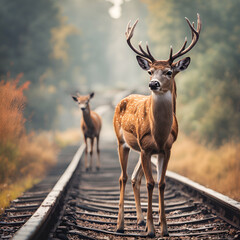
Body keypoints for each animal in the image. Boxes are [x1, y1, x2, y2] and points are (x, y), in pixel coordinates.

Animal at [112, 14, 201, 237]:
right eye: (150, 71)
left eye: (169, 71)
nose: (153, 84)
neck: (159, 133)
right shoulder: (146, 149)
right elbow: (151, 183)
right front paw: (152, 230)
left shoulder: (165, 149)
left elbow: (161, 183)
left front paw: (165, 228)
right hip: (122, 142)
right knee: (123, 177)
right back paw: (120, 225)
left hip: (141, 149)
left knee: (135, 178)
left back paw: (140, 220)